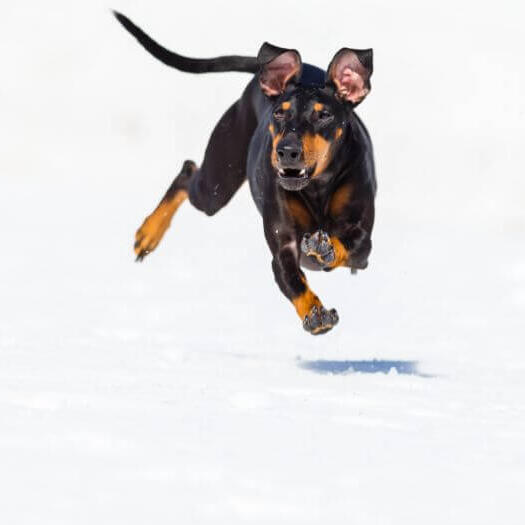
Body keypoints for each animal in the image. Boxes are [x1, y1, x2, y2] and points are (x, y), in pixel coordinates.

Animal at [115, 13, 376, 336]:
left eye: (324, 114)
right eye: (280, 112)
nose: (287, 151)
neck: (317, 186)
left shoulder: (364, 247)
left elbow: (348, 246)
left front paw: (323, 247)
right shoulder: (283, 247)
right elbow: (293, 280)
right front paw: (315, 314)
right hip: (217, 184)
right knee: (188, 171)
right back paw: (148, 234)